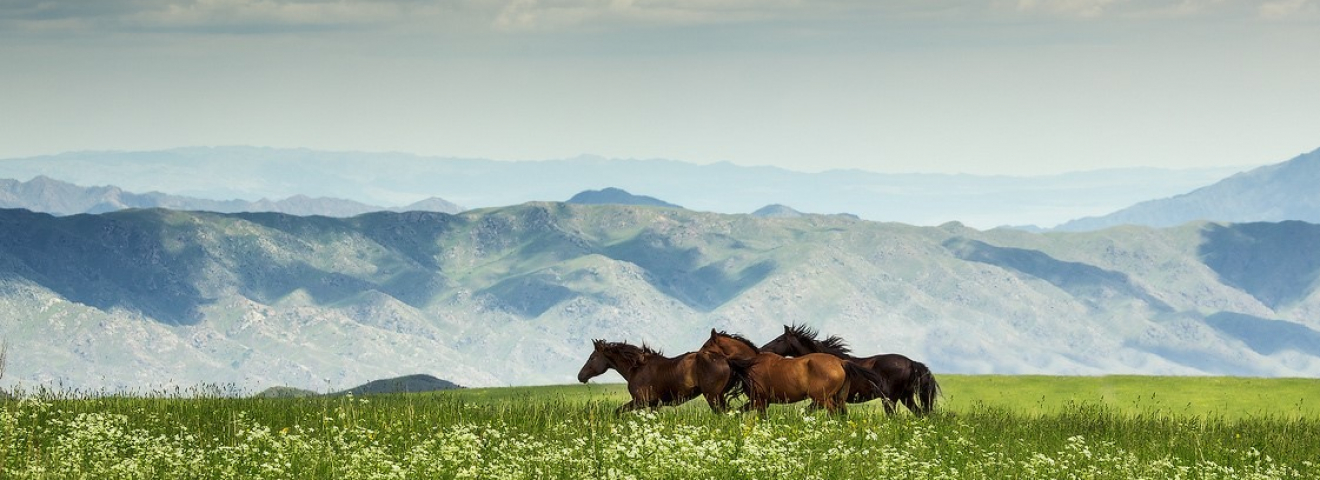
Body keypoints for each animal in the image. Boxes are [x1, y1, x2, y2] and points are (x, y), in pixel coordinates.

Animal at [578, 340, 744, 414]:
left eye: (592, 358)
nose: (580, 376)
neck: (637, 367)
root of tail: (725, 359)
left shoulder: (640, 402)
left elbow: (618, 411)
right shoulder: (653, 405)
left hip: (713, 396)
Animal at [702, 328, 887, 414]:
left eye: (706, 345)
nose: (699, 355)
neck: (752, 363)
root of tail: (842, 362)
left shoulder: (760, 401)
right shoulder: (760, 401)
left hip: (824, 399)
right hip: (839, 398)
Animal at [760, 325, 945, 416]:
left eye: (779, 339)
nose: (762, 348)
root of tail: (912, 363)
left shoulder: (822, 398)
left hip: (890, 399)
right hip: (906, 397)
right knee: (920, 414)